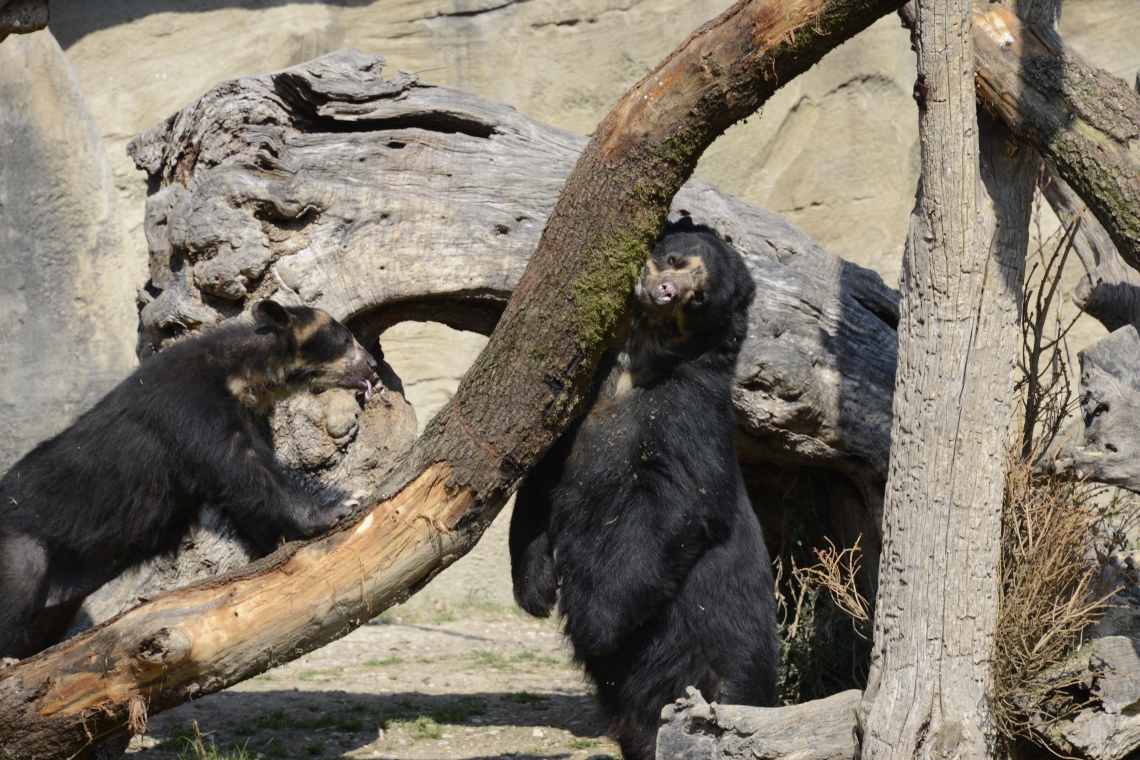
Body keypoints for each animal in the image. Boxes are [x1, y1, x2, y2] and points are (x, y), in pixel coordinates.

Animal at [0, 300, 378, 660]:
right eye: (345, 339)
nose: (373, 365)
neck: (244, 375)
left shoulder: (249, 415)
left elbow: (246, 494)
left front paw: (279, 541)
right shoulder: (194, 408)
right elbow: (248, 472)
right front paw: (340, 506)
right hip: (19, 546)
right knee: (16, 589)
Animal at [513, 218, 779, 760]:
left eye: (699, 299)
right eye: (674, 260)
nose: (666, 291)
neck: (640, 359)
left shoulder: (688, 414)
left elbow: (679, 506)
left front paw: (592, 622)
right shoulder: (583, 397)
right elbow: (542, 470)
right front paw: (536, 589)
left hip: (724, 661)